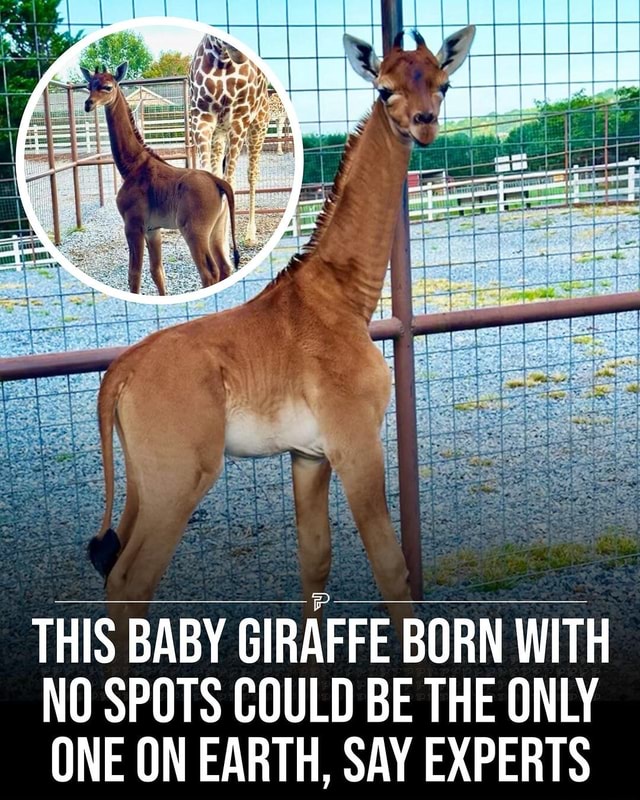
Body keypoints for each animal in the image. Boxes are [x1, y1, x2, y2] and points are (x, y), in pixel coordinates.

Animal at [81, 62, 239, 294]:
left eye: (107, 87)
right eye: (88, 85)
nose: (88, 104)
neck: (131, 166)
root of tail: (219, 183)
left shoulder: (133, 225)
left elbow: (134, 275)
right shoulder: (152, 230)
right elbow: (158, 273)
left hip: (194, 231)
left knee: (210, 273)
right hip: (217, 229)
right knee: (225, 267)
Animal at [190, 34, 270, 245]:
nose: (239, 52)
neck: (223, 61)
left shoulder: (239, 119)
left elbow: (230, 182)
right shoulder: (201, 117)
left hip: (259, 125)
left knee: (252, 173)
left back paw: (250, 234)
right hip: (219, 132)